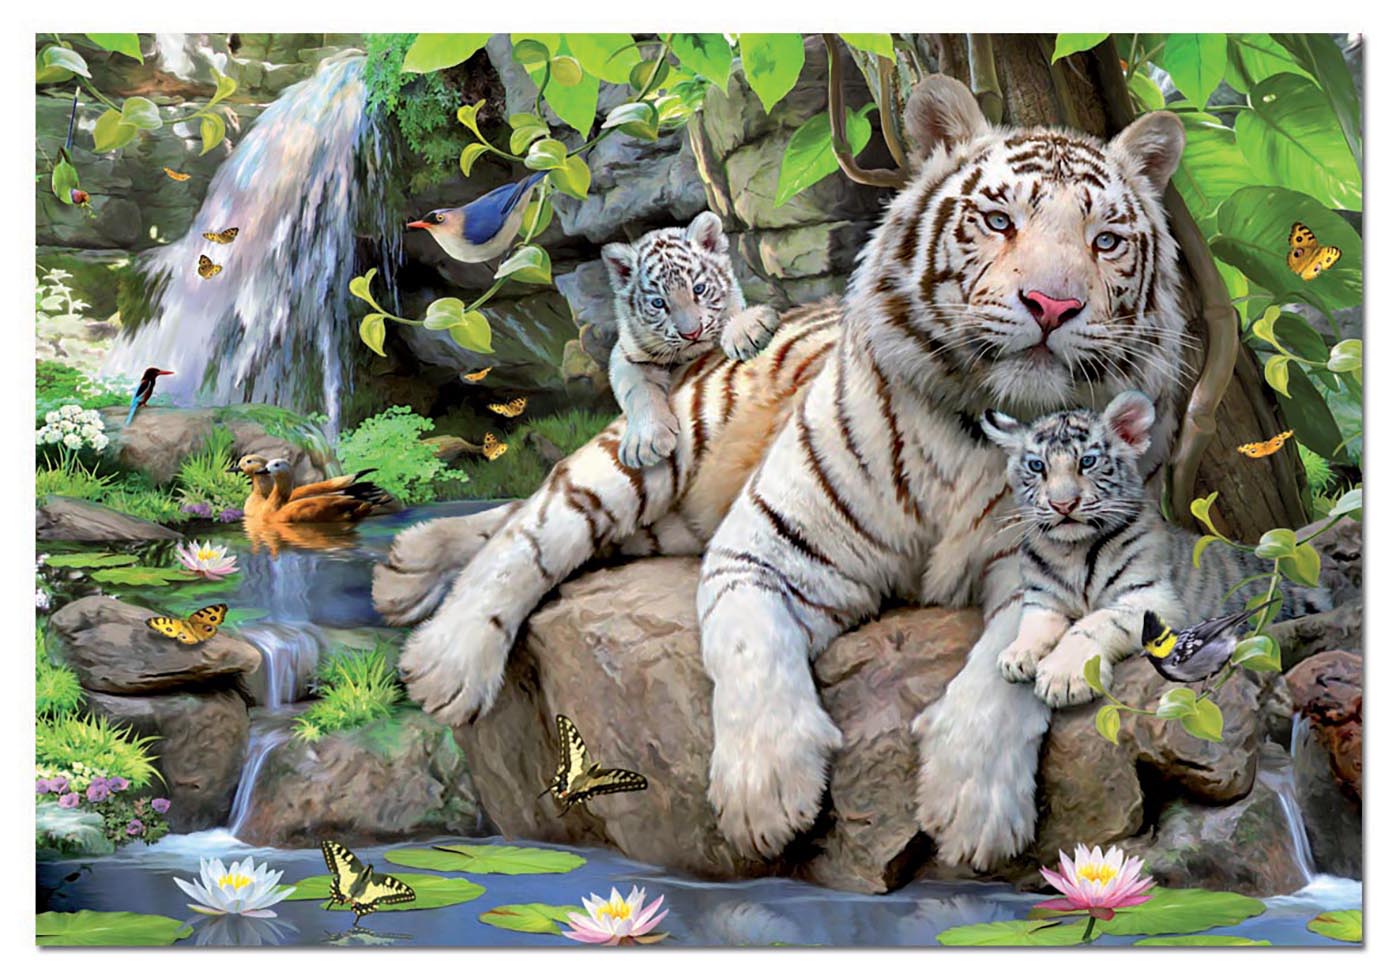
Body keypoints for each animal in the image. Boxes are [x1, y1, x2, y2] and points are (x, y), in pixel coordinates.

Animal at [603, 211, 780, 469]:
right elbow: (638, 390)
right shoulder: (626, 354)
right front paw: (646, 441)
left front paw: (747, 330)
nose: (692, 333)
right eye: (659, 303)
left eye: (699, 289)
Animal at [982, 390, 1330, 703]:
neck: (1072, 551)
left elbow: (1092, 624)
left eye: (1087, 461)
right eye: (1037, 467)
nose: (1063, 504)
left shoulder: (1152, 598)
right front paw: (1016, 655)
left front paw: (1063, 677)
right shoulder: (1043, 598)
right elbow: (1034, 622)